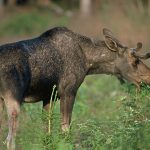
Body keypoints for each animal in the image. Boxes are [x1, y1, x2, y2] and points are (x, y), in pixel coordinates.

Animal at [0, 26, 150, 149]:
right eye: (135, 61)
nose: (148, 77)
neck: (88, 62)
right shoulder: (68, 91)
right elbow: (65, 129)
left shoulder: (48, 96)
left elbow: (47, 131)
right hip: (13, 99)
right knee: (9, 140)